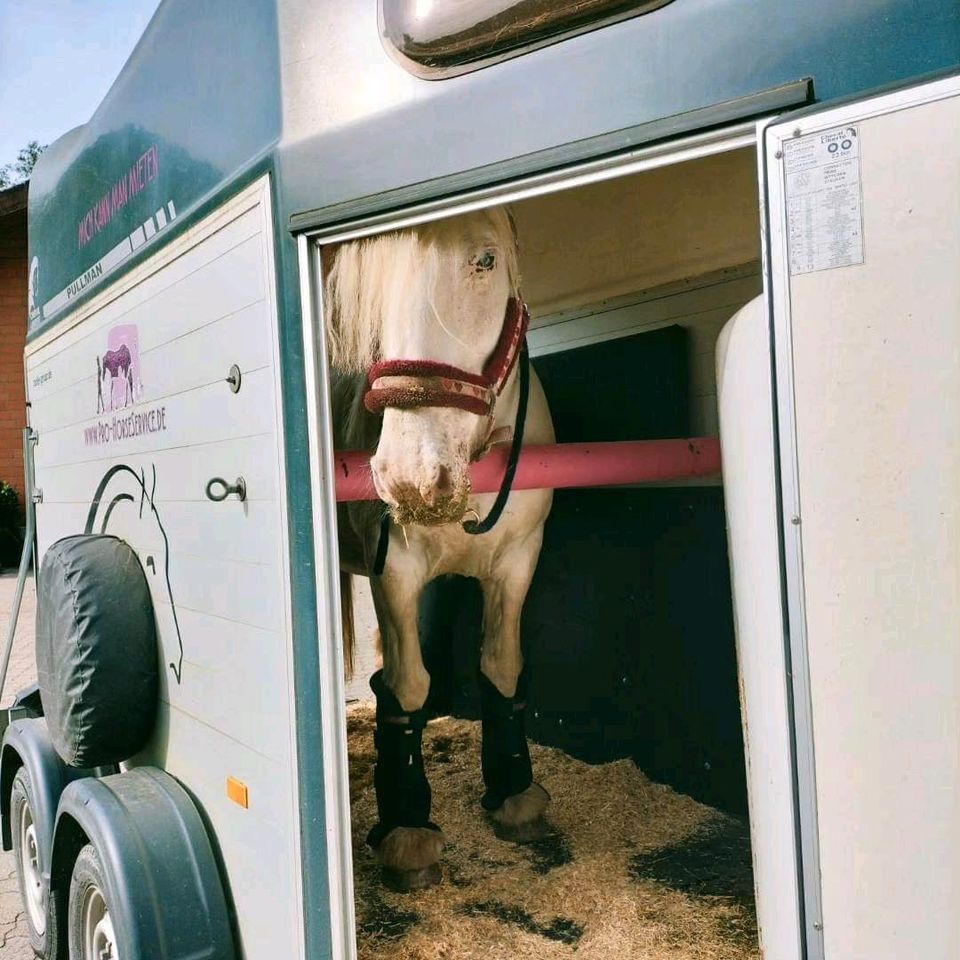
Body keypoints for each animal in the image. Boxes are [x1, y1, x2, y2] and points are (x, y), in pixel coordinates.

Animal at [326, 210, 556, 892]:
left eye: (485, 260)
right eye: (373, 283)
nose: (410, 476)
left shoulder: (518, 560)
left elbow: (502, 667)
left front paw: (515, 793)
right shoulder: (394, 573)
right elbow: (405, 687)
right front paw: (406, 828)